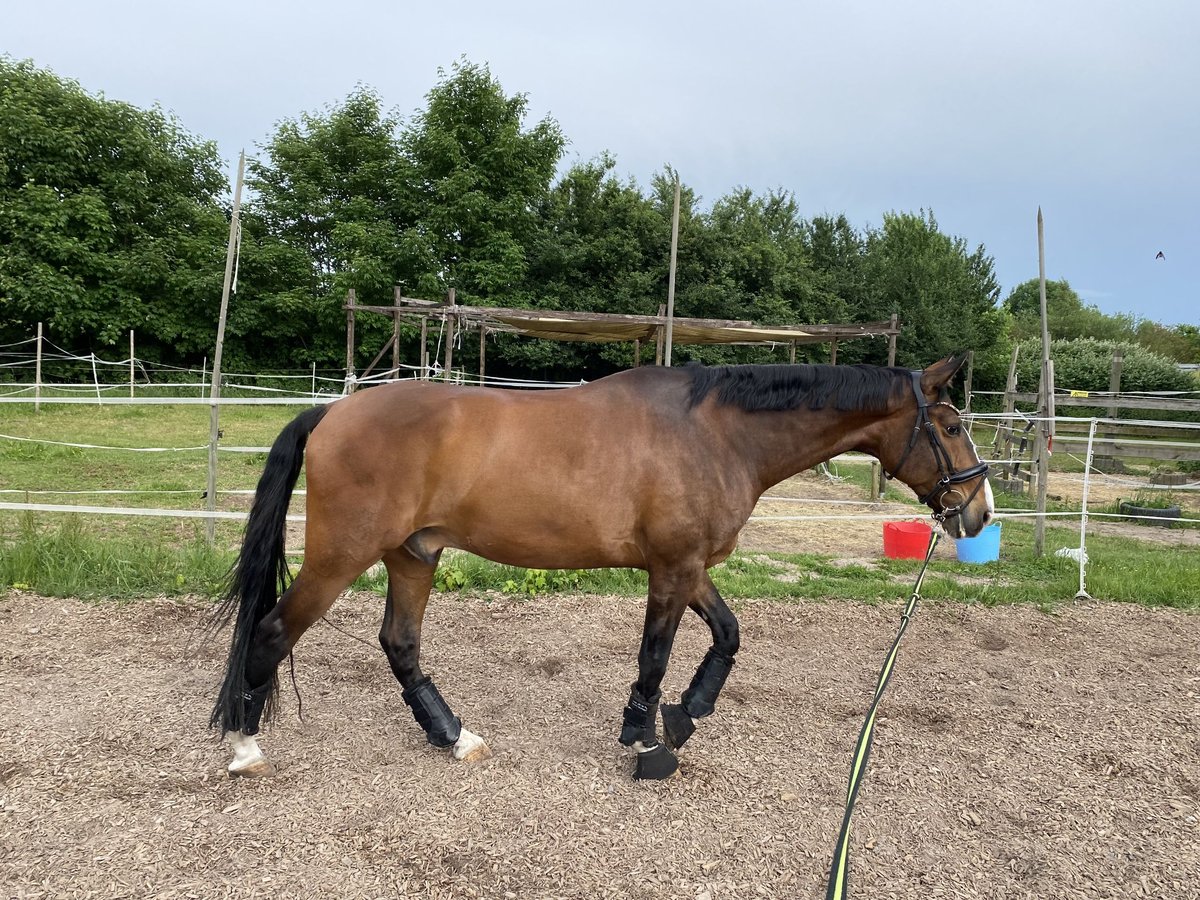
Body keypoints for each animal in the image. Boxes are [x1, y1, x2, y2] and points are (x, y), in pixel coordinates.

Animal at [213, 355, 993, 777]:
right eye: (953, 425)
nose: (978, 513)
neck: (715, 433)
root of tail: (332, 412)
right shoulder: (671, 569)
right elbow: (655, 654)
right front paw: (647, 742)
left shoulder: (689, 566)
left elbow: (728, 634)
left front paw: (685, 713)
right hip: (342, 556)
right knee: (272, 633)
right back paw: (246, 749)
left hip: (414, 555)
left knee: (400, 645)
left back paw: (455, 737)